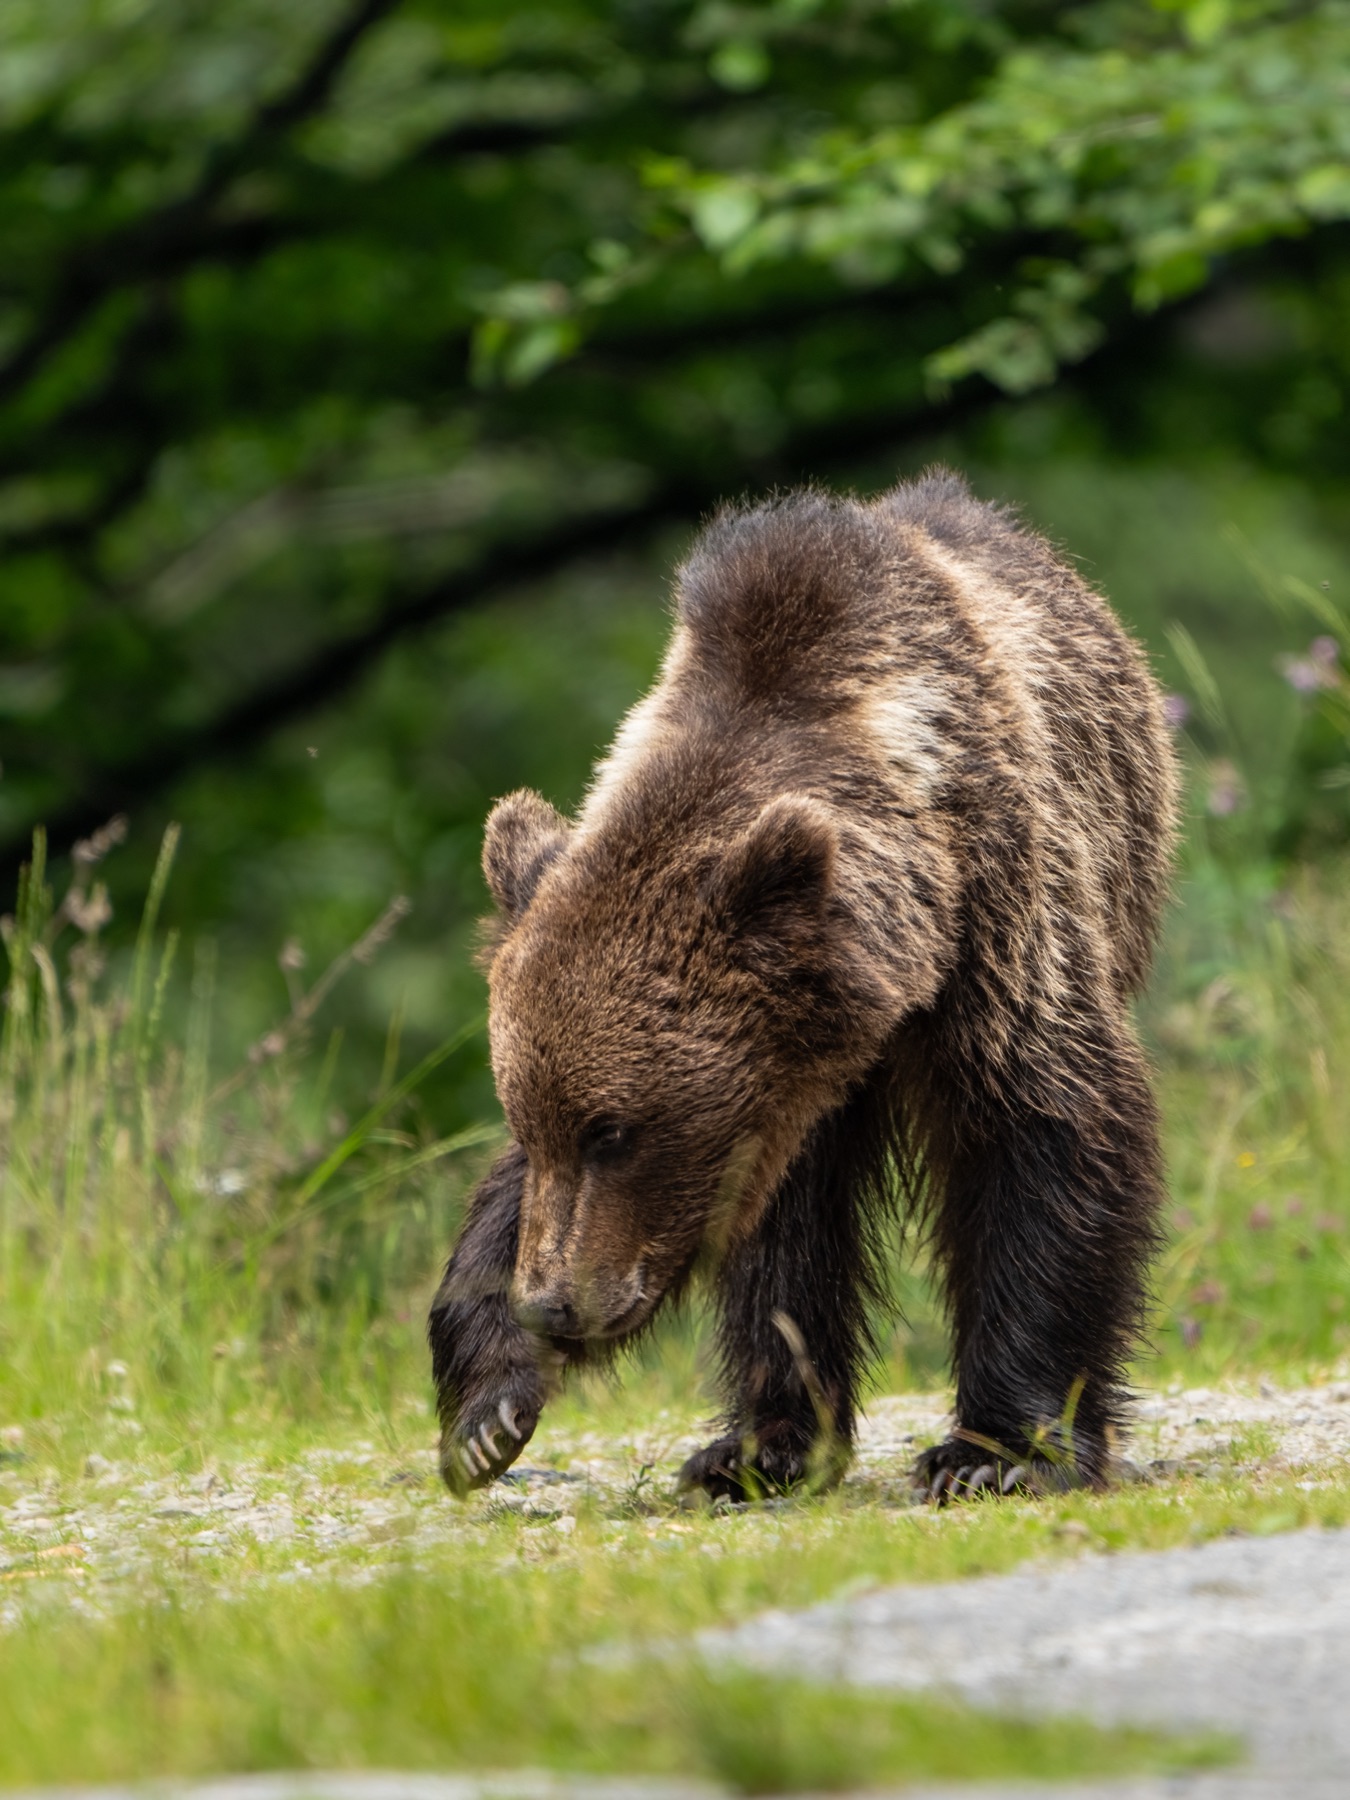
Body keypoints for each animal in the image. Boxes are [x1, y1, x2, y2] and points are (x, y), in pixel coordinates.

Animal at [429, 468, 1178, 1503]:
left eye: (614, 1132)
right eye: (534, 1117)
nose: (552, 1305)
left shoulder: (1000, 916)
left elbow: (1043, 1130)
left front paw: (994, 1451)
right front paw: (488, 1412)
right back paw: (756, 1448)